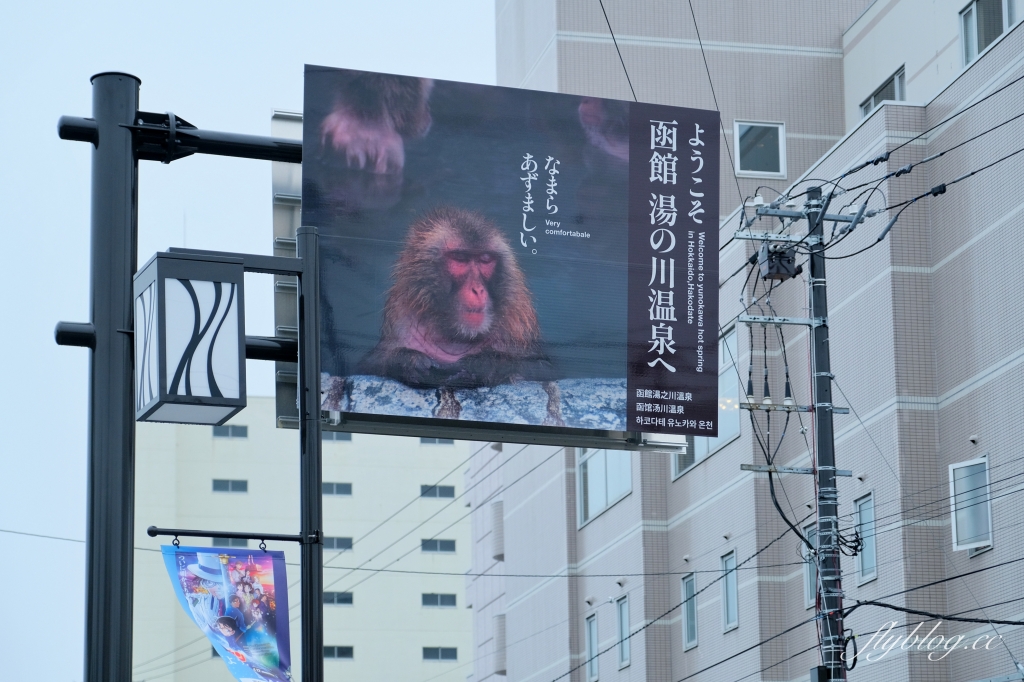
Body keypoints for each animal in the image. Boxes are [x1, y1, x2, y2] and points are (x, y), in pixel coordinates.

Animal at [358, 205, 552, 387]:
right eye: (460, 258)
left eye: (485, 259)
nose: (477, 289)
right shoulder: (401, 315)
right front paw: (407, 361)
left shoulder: (516, 321)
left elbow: (543, 368)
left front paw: (487, 364)